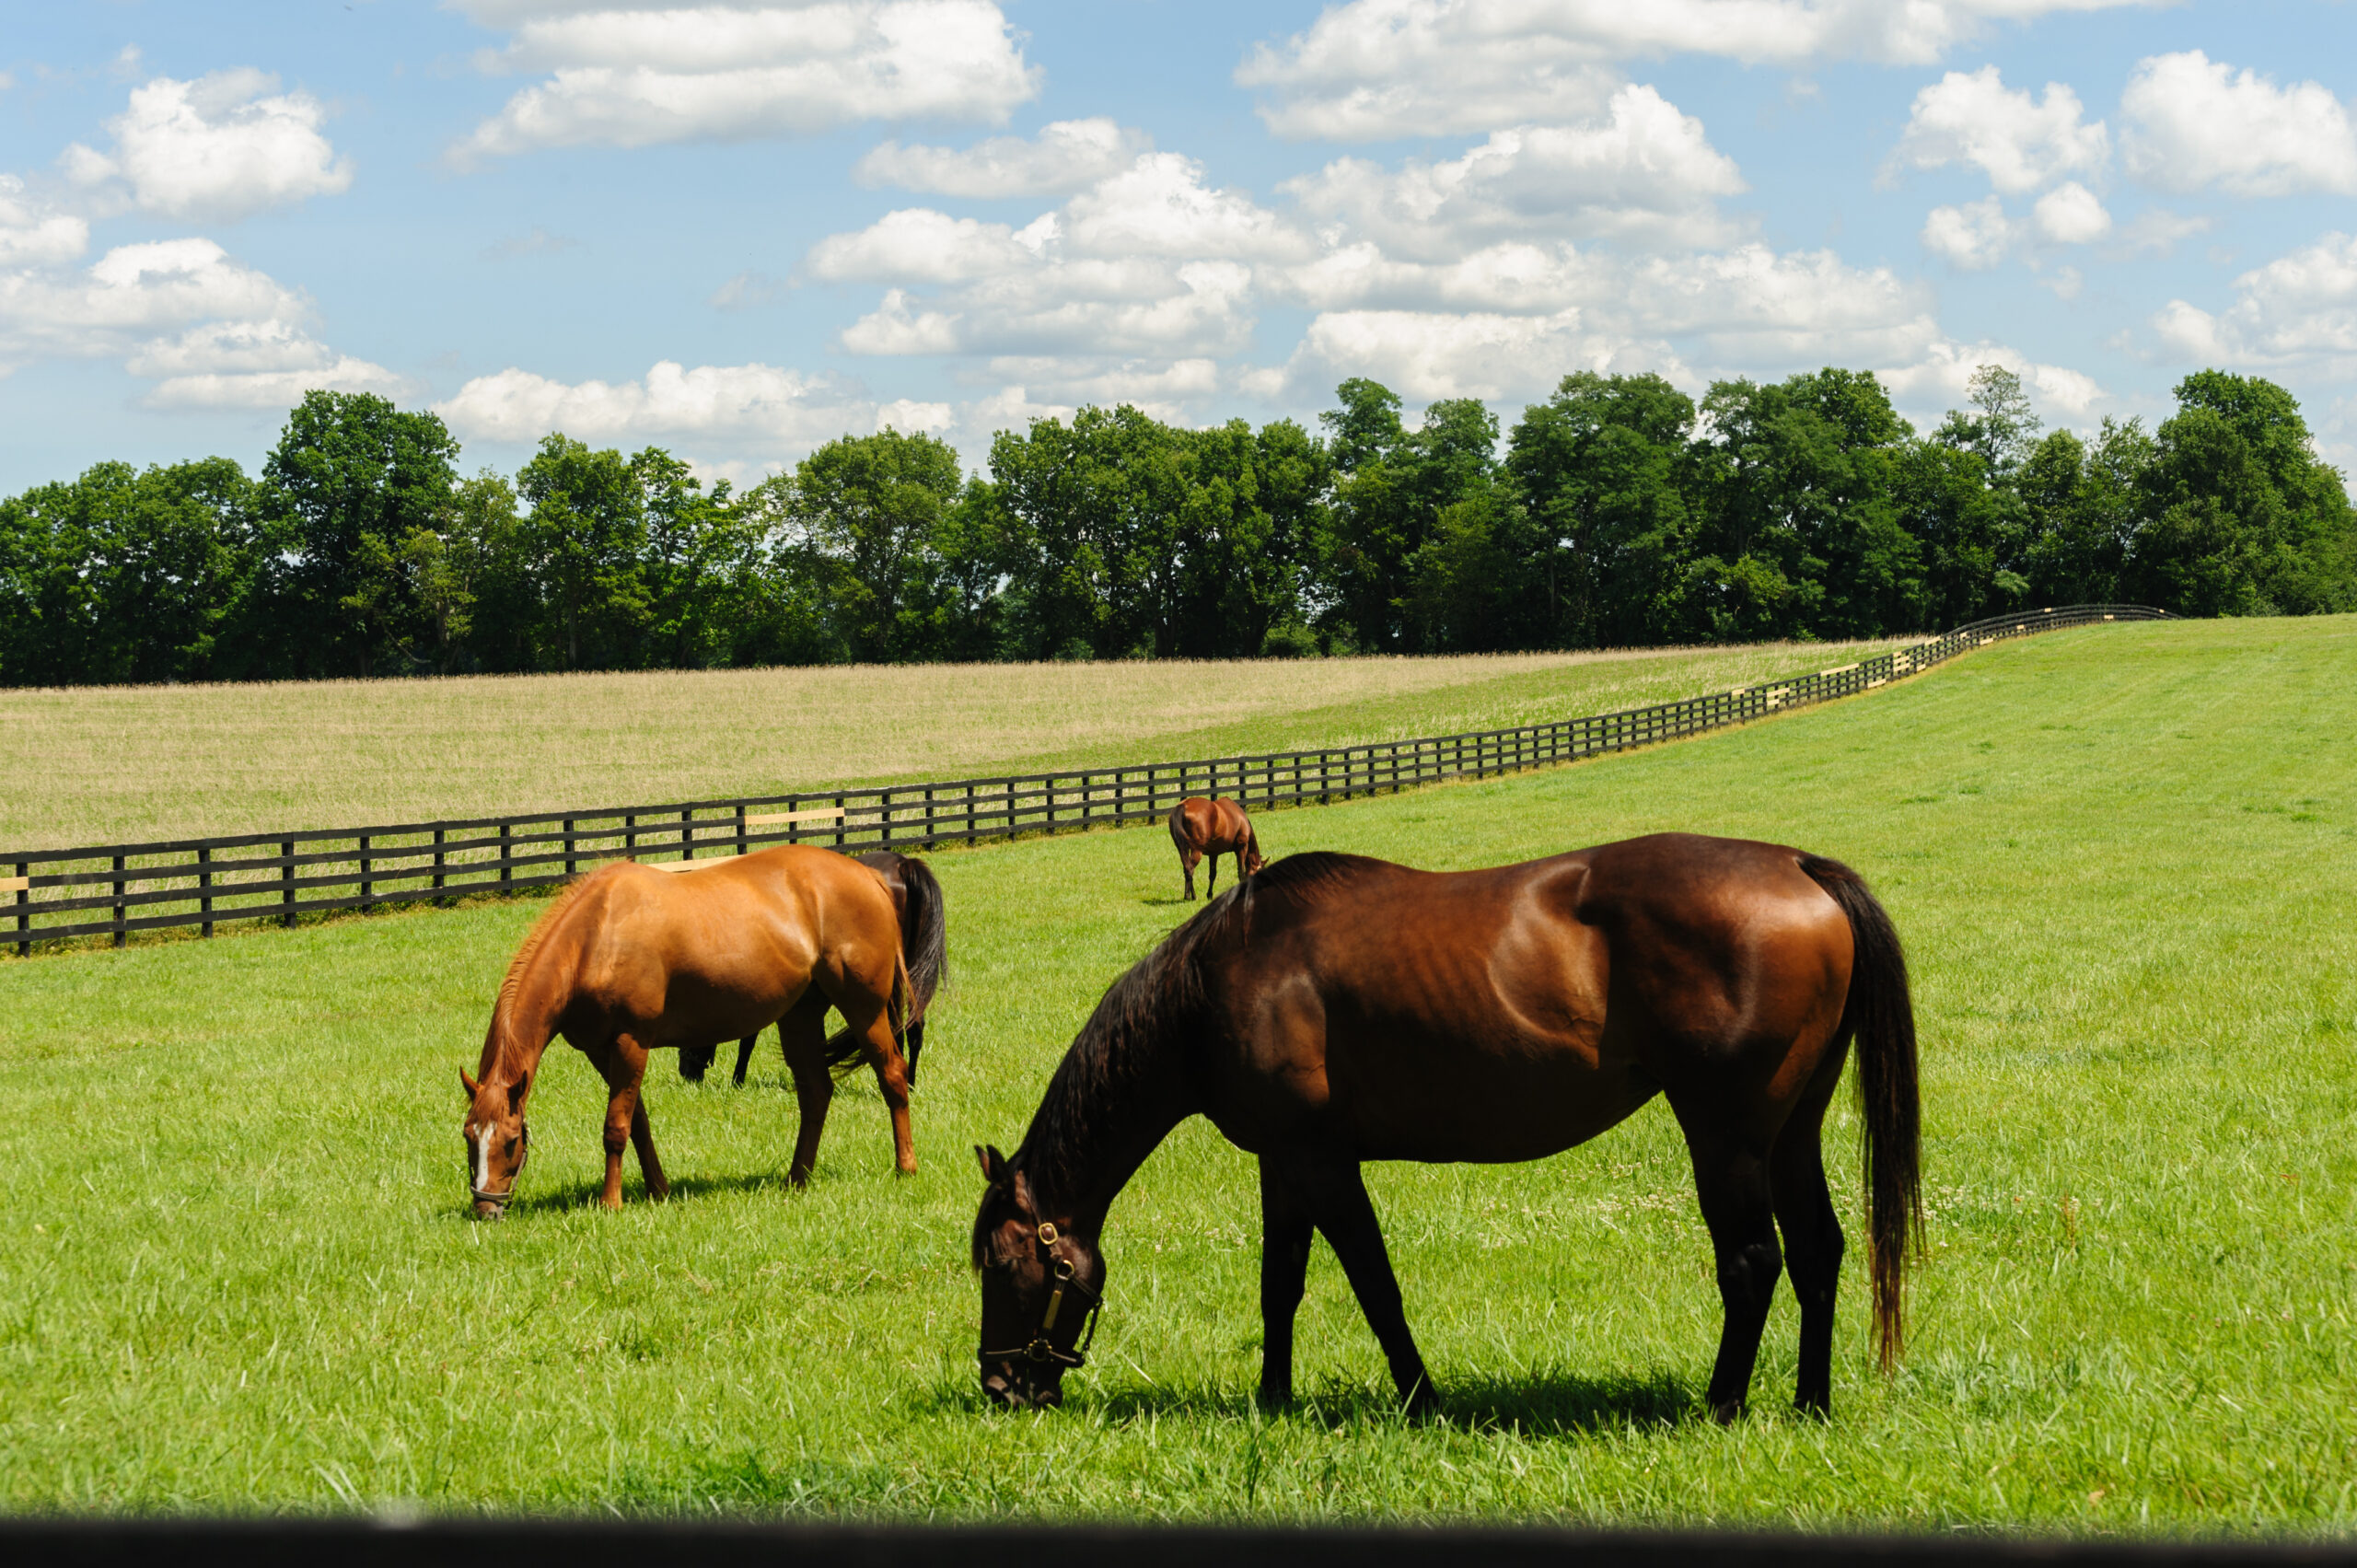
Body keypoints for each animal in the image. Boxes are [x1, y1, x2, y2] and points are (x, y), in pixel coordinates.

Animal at [679, 850, 947, 1090]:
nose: (686, 1073)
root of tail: (903, 864)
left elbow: (749, 1039)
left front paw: (738, 1080)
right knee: (913, 1027)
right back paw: (910, 1084)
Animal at [971, 834, 1920, 1422]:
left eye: (1007, 1264)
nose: (999, 1384)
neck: (1221, 977)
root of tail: (1800, 867)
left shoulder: (1323, 1163)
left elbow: (1375, 1286)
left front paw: (1420, 1398)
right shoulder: (1283, 1163)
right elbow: (1281, 1285)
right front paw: (1273, 1399)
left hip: (1726, 1137)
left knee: (1753, 1262)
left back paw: (1722, 1406)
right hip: (1791, 1132)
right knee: (1819, 1249)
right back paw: (1809, 1403)